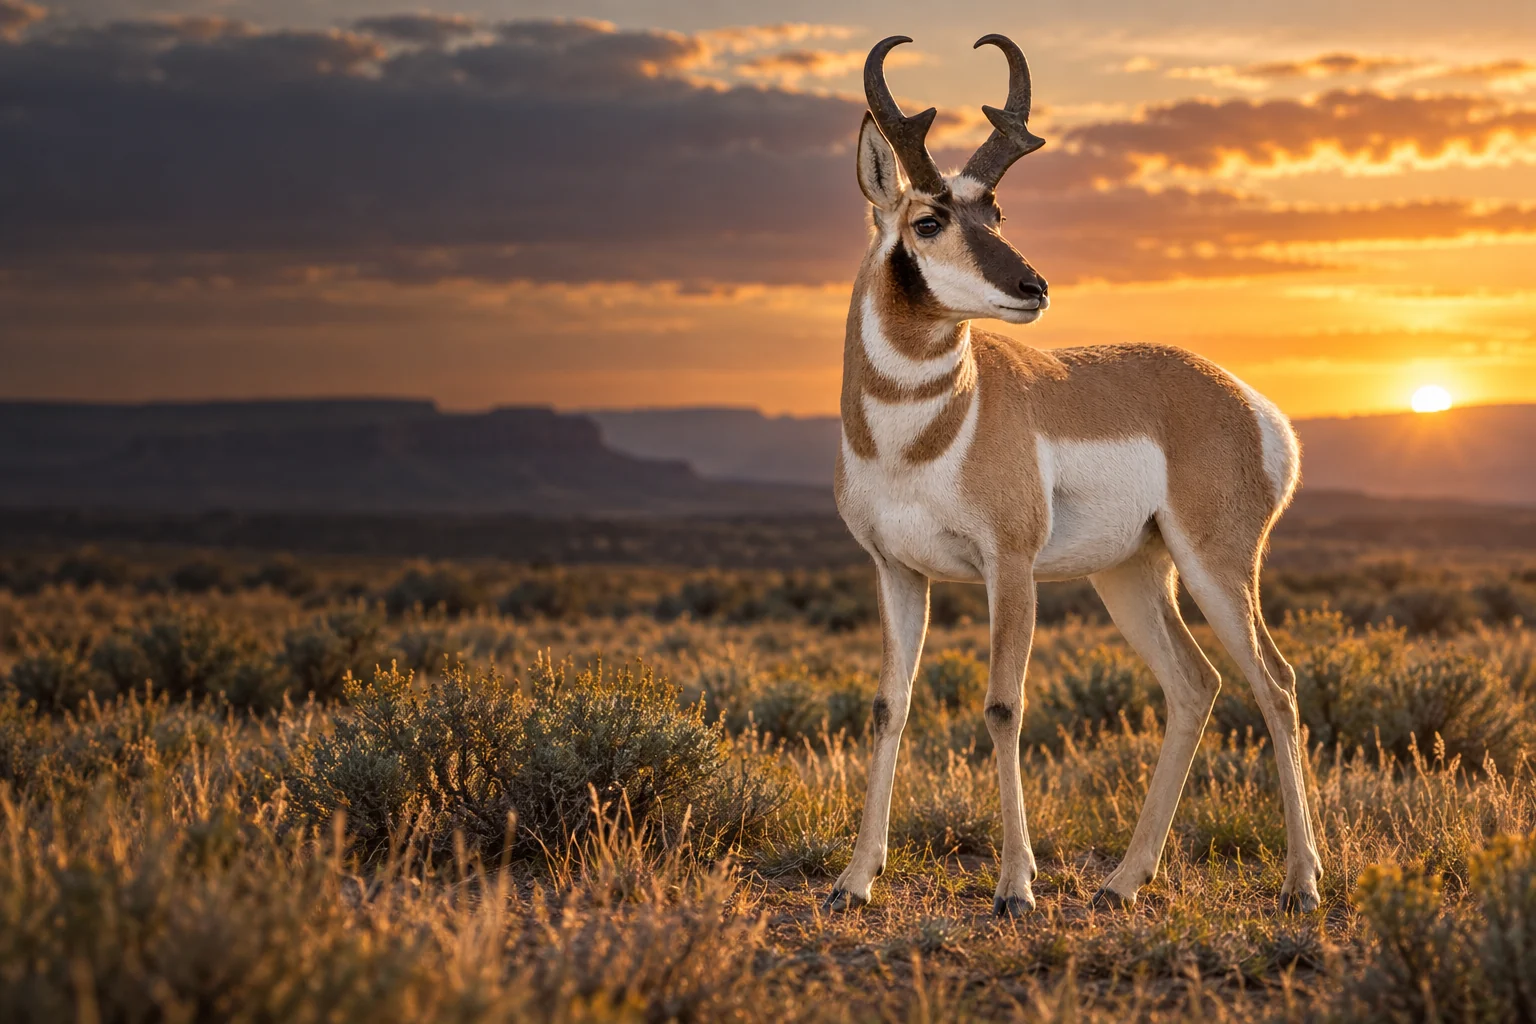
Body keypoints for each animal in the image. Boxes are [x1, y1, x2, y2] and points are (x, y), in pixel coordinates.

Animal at [826, 34, 1322, 918]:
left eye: (997, 212)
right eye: (929, 219)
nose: (1033, 286)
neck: (922, 433)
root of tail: (1249, 403)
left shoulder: (1010, 566)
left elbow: (1003, 705)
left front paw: (1016, 887)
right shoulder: (896, 570)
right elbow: (890, 705)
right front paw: (855, 880)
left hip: (1217, 567)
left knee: (1276, 682)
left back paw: (1301, 884)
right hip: (1131, 576)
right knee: (1195, 685)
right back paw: (1124, 881)